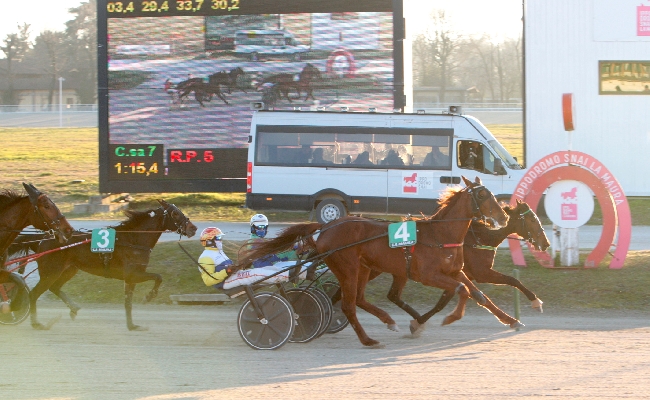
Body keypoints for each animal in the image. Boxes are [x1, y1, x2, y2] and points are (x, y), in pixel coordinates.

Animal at [237, 175, 506, 346]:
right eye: (483, 194)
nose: (503, 216)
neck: (439, 235)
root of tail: (327, 227)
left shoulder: (452, 271)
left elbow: (474, 292)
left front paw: (507, 318)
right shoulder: (428, 275)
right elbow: (462, 290)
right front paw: (450, 317)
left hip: (363, 267)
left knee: (358, 299)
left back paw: (388, 321)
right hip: (348, 267)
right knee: (348, 304)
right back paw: (367, 339)